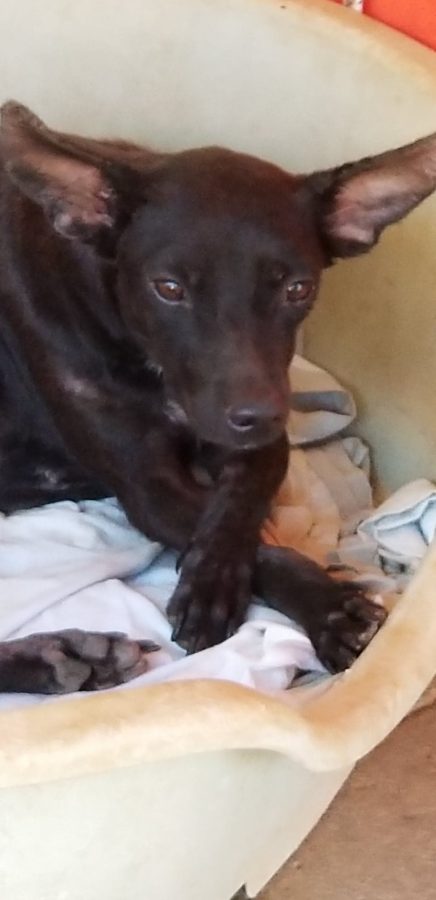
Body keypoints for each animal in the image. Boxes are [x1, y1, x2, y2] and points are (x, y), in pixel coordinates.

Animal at [0, 102, 434, 694]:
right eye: (169, 288)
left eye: (297, 288)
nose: (257, 415)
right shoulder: (147, 483)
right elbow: (253, 543)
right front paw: (329, 610)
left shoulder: (261, 430)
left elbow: (237, 506)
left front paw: (215, 576)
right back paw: (58, 657)